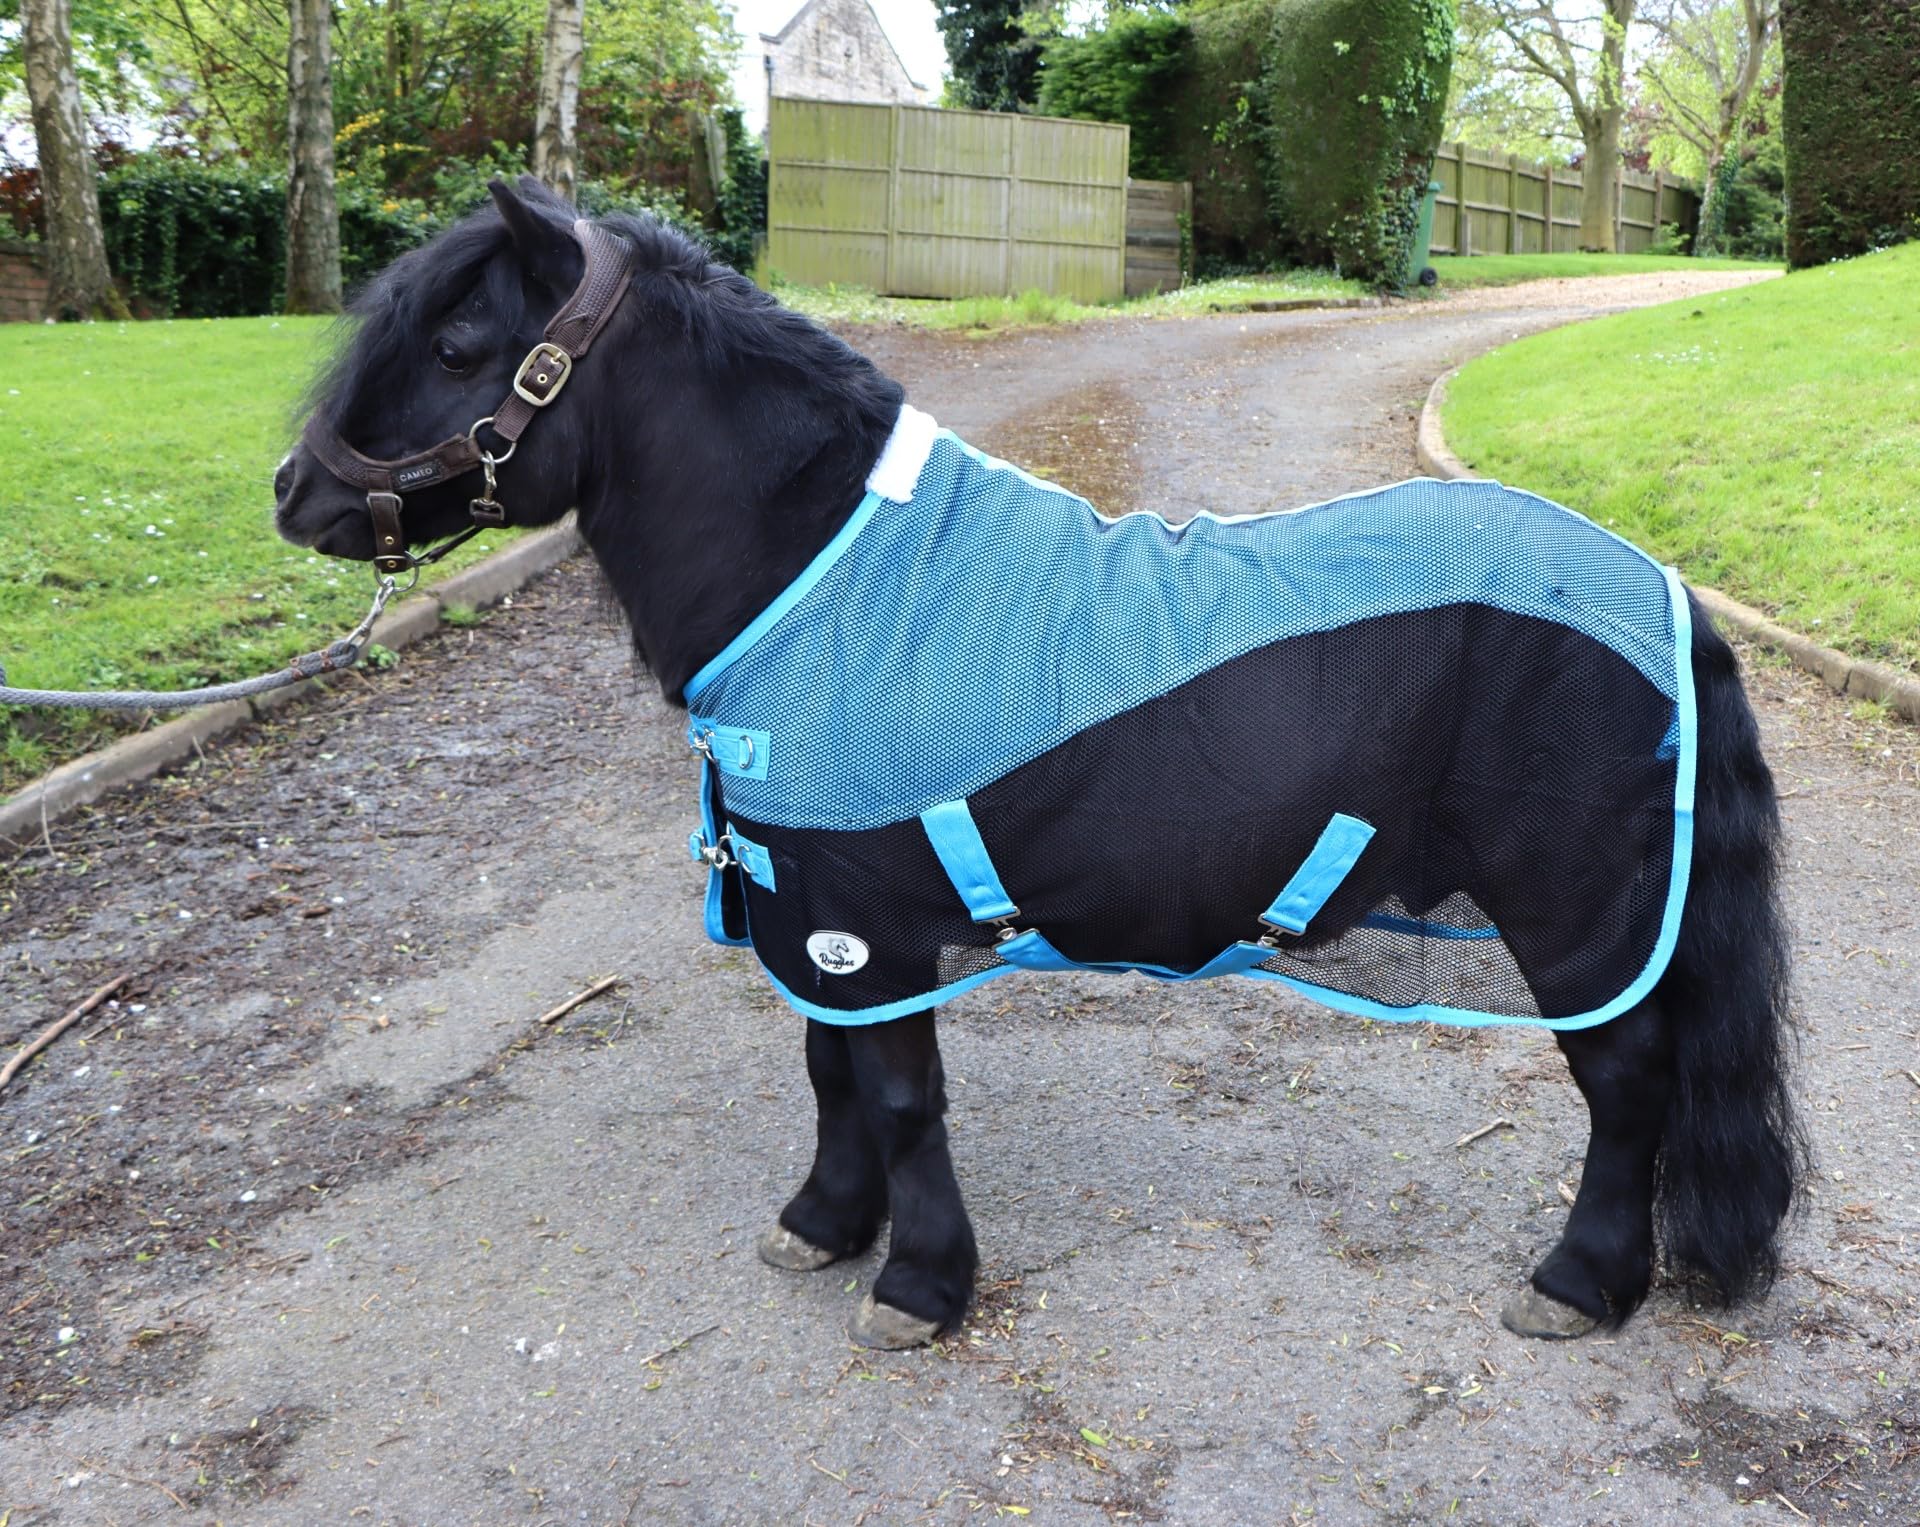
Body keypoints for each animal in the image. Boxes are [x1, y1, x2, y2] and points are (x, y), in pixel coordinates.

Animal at [274, 177, 1806, 1350]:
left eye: (461, 343)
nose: (297, 494)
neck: (818, 575)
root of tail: (1665, 590)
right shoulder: (814, 901)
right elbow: (830, 1071)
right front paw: (823, 1223)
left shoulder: (863, 913)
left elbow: (898, 1096)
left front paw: (917, 1283)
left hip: (1577, 916)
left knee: (1627, 1087)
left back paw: (1582, 1283)